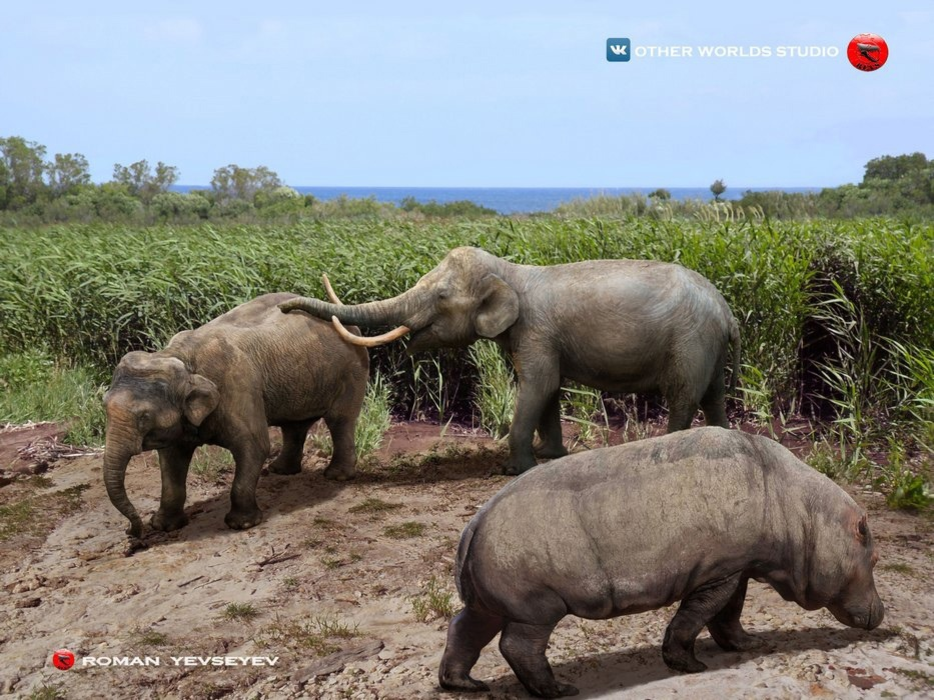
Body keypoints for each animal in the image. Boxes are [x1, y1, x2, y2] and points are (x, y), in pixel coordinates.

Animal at [100, 292, 368, 540]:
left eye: (144, 417)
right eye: (104, 405)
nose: (132, 532)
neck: (179, 356)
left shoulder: (238, 389)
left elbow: (255, 446)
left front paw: (241, 524)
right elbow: (171, 458)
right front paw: (164, 526)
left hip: (352, 371)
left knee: (340, 420)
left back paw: (335, 475)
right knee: (294, 425)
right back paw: (280, 470)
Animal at [278, 247, 740, 476]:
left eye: (440, 296)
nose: (284, 307)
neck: (512, 272)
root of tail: (726, 310)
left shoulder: (536, 332)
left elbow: (538, 384)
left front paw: (514, 469)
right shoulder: (539, 338)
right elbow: (548, 388)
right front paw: (550, 455)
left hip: (690, 342)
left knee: (683, 395)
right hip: (709, 348)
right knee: (713, 395)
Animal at [438, 430, 884, 696]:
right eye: (875, 556)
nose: (883, 613)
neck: (802, 511)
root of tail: (473, 525)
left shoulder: (737, 567)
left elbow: (730, 614)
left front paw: (749, 645)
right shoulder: (719, 571)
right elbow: (697, 614)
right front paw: (692, 666)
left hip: (488, 604)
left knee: (462, 630)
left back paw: (467, 685)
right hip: (536, 607)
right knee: (518, 647)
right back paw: (562, 690)